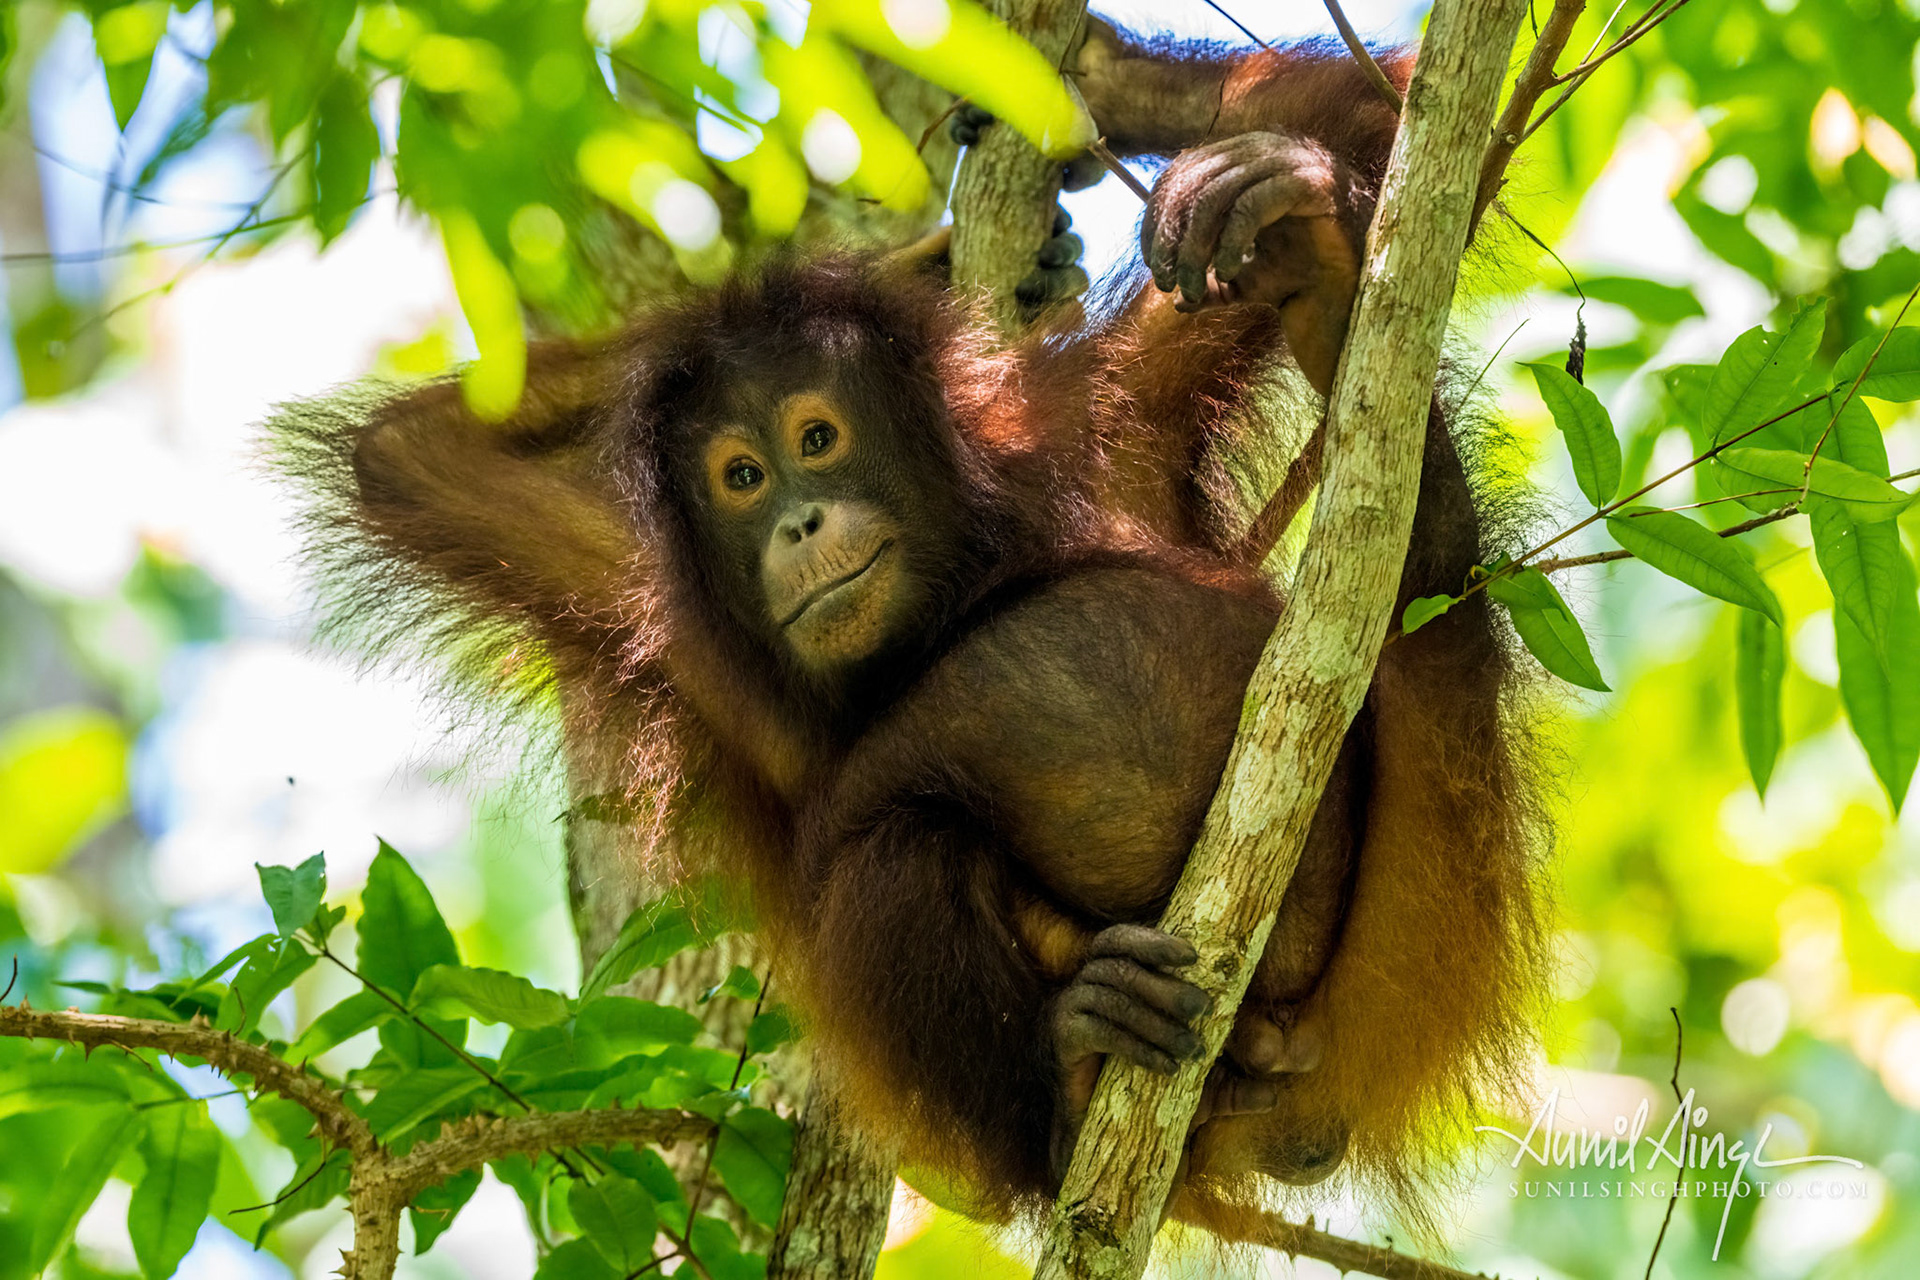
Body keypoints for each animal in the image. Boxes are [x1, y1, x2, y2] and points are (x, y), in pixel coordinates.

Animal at [274, 21, 1549, 1235]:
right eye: (739, 477)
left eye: (818, 436)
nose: (797, 520)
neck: (950, 601)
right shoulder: (669, 613)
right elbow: (416, 463)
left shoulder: (1099, 416)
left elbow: (1381, 109)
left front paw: (1121, 105)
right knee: (898, 847)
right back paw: (1072, 1074)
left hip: (1416, 933)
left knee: (1424, 580)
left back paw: (1324, 288)